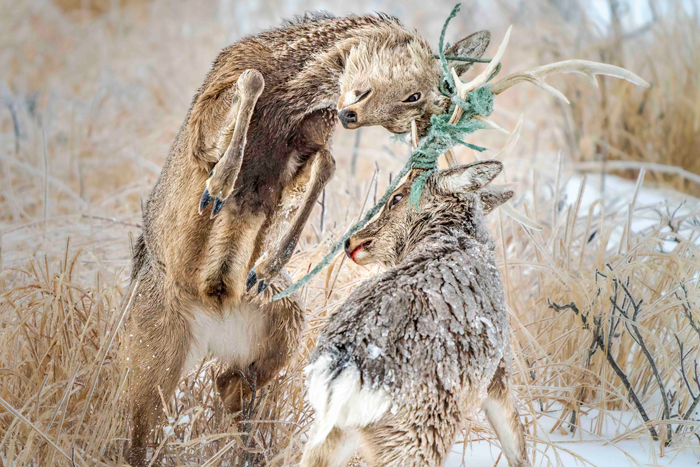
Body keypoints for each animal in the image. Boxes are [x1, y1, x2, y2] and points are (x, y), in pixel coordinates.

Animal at [124, 11, 495, 467]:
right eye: (413, 94)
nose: (350, 114)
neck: (293, 93)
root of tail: (214, 320)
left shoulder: (306, 144)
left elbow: (328, 163)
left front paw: (266, 266)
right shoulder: (207, 118)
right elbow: (249, 83)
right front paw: (218, 186)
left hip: (283, 328)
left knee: (230, 383)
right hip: (152, 345)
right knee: (138, 420)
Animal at [300, 161, 529, 467]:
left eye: (396, 197)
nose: (350, 242)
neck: (454, 237)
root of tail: (343, 368)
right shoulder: (500, 369)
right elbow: (516, 442)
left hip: (332, 432)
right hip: (417, 438)